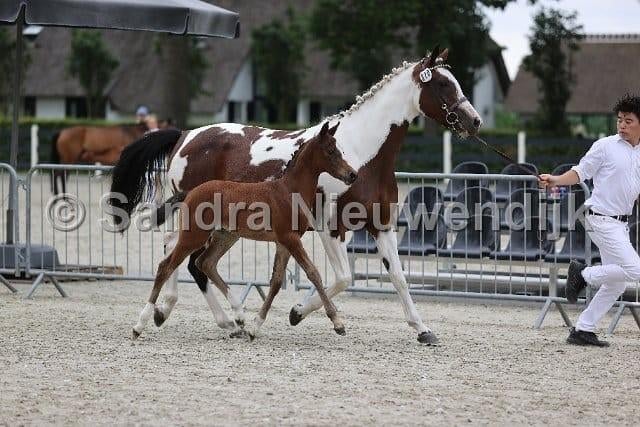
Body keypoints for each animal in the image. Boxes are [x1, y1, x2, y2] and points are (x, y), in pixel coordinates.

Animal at [132, 121, 357, 339]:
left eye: (341, 149)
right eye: (330, 151)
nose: (352, 175)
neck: (288, 191)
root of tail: (190, 192)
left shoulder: (283, 242)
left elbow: (276, 282)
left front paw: (255, 327)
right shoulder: (291, 239)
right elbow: (313, 273)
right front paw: (337, 323)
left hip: (224, 235)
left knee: (205, 263)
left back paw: (238, 317)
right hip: (194, 236)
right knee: (166, 266)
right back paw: (140, 325)